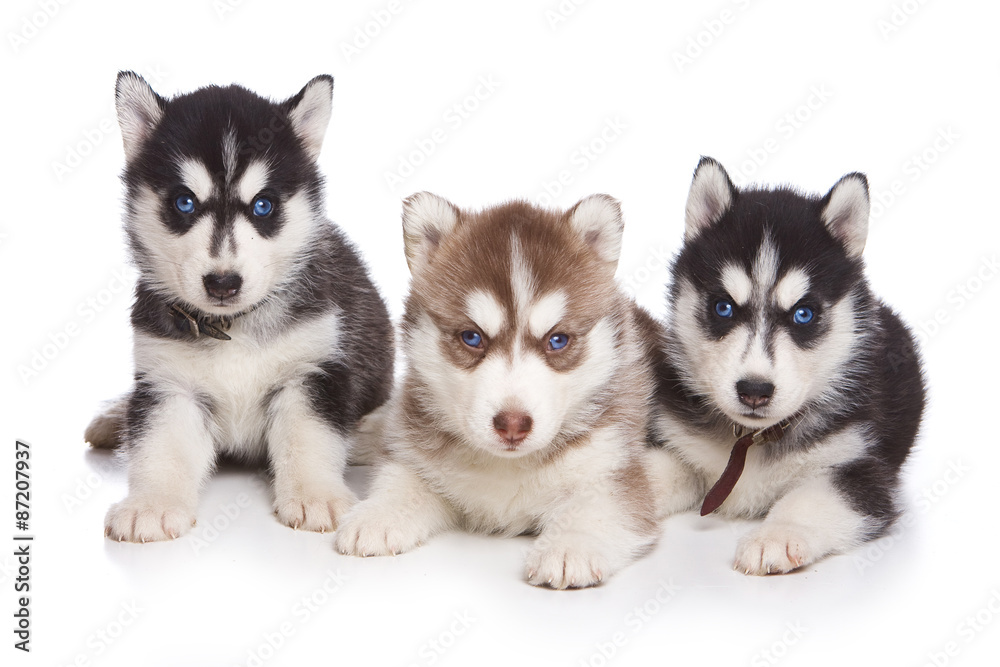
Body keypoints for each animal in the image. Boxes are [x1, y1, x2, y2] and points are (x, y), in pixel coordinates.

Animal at [86, 73, 392, 544]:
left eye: (263, 205)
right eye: (184, 202)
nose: (223, 282)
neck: (232, 325)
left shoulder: (312, 371)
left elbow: (309, 436)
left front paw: (316, 495)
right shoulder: (168, 381)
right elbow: (160, 443)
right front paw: (151, 505)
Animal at [336, 193, 664, 588]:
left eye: (558, 340)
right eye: (471, 337)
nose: (512, 424)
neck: (508, 465)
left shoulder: (612, 468)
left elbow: (599, 510)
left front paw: (570, 547)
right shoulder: (415, 453)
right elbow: (401, 479)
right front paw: (377, 515)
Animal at [652, 155, 924, 576]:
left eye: (803, 314)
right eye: (722, 307)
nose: (754, 391)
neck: (751, 439)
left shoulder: (861, 471)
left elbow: (810, 499)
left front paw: (776, 536)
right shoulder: (677, 445)